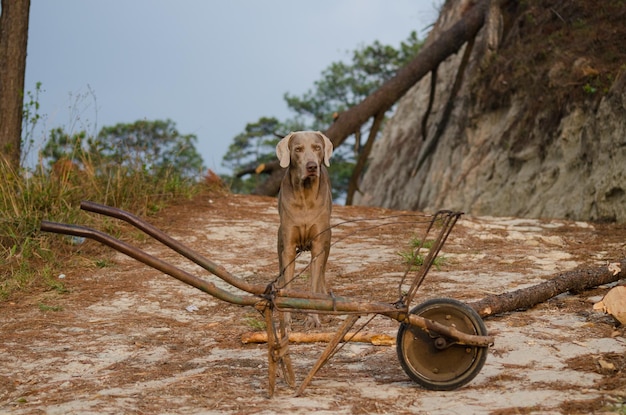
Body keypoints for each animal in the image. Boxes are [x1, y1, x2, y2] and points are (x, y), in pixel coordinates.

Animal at [272, 132, 332, 330]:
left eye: (317, 147)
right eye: (298, 149)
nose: (312, 166)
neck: (305, 195)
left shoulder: (319, 246)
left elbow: (313, 284)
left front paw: (313, 319)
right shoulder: (288, 247)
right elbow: (288, 285)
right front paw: (286, 323)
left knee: (321, 276)